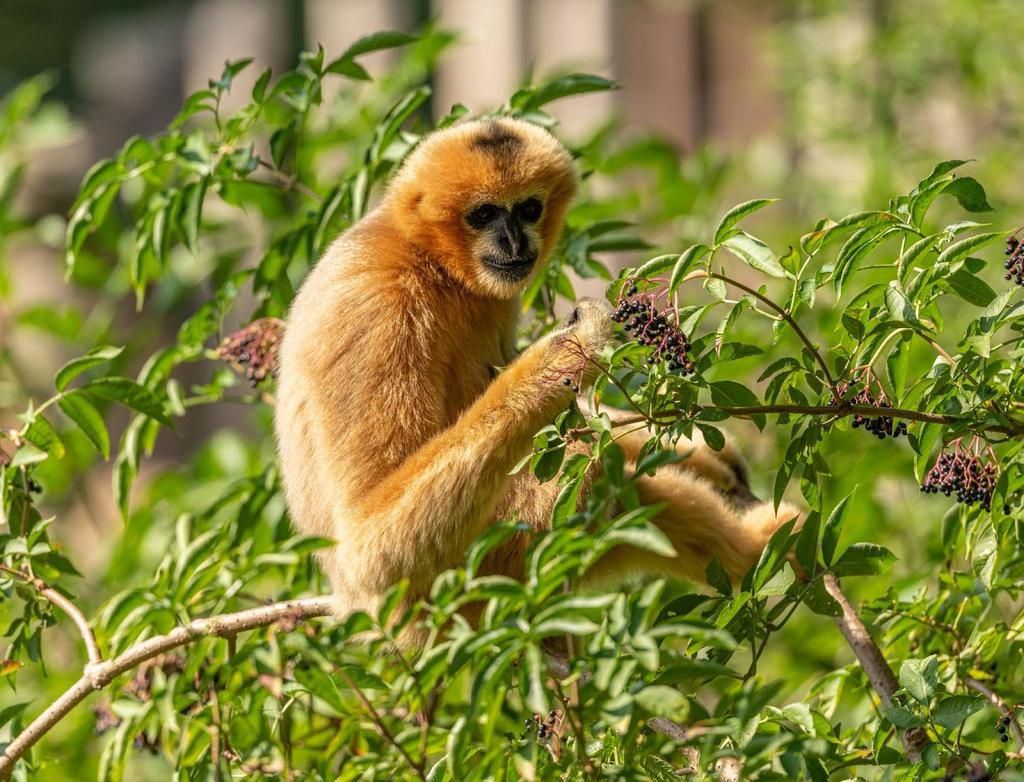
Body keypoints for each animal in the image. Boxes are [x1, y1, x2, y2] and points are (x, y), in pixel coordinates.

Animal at [274, 117, 799, 642]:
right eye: (484, 214)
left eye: (528, 208)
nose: (514, 242)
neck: (428, 260)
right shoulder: (378, 308)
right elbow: (371, 546)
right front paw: (570, 348)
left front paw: (702, 454)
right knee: (583, 462)